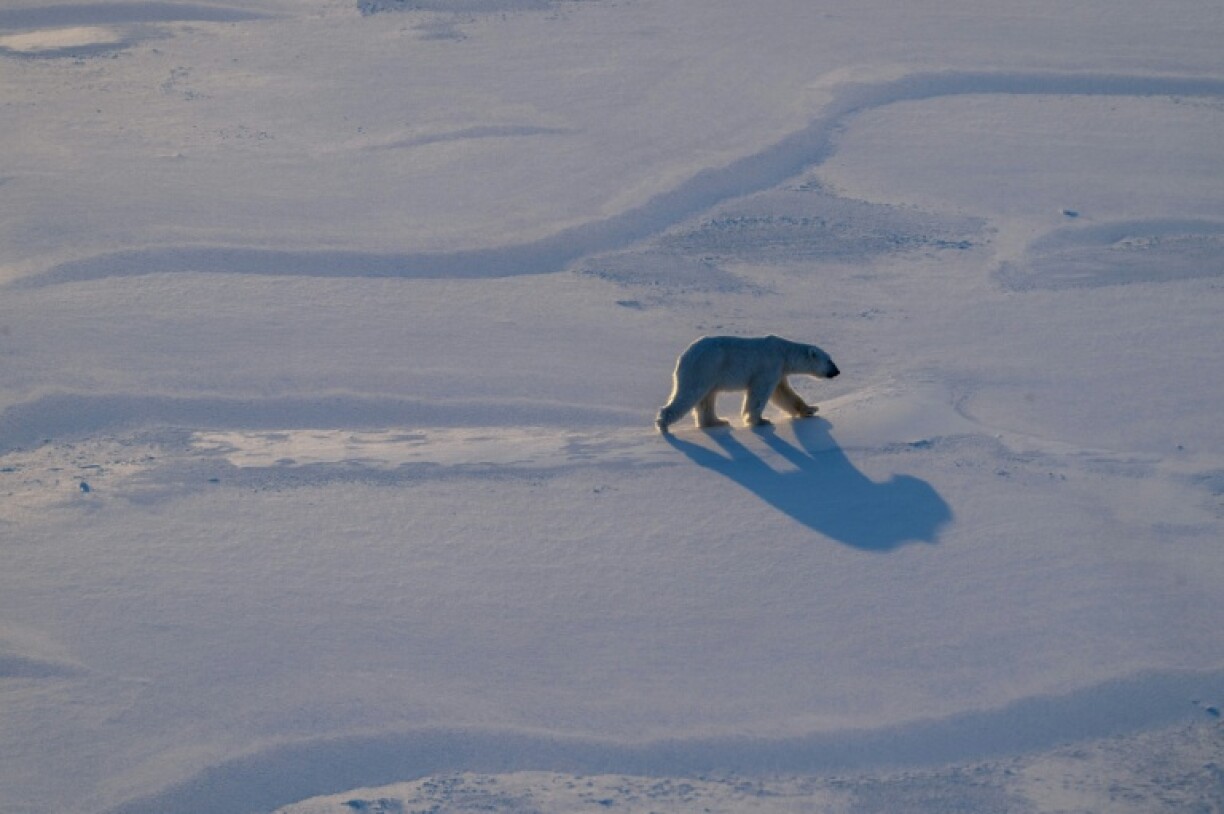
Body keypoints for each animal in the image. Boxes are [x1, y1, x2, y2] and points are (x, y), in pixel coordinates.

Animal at [655, 335, 839, 433]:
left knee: (707, 398)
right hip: (703, 368)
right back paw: (663, 425)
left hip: (709, 374)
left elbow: (783, 393)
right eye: (829, 360)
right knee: (689, 394)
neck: (783, 352)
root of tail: (683, 357)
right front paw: (760, 420)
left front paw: (810, 409)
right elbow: (759, 393)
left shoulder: (779, 371)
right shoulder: (768, 366)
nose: (837, 371)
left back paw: (717, 421)